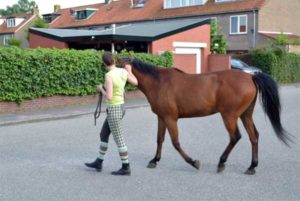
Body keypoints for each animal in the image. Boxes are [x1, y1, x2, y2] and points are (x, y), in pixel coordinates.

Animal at [119, 58, 290, 174]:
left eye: (118, 67)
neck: (159, 82)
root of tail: (251, 77)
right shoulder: (161, 117)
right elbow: (159, 139)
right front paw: (154, 160)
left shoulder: (170, 118)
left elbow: (176, 143)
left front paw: (193, 162)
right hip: (245, 115)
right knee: (253, 136)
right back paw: (252, 166)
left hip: (229, 116)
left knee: (235, 136)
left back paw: (221, 163)